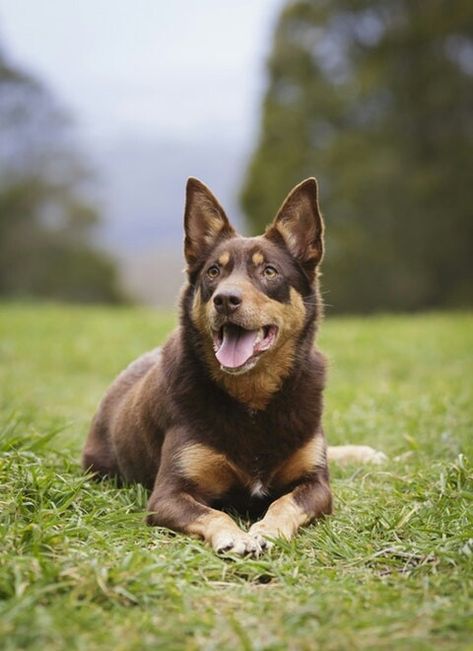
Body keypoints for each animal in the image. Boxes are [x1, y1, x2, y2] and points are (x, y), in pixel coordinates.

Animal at [81, 177, 384, 556]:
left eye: (269, 271)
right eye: (214, 271)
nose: (225, 299)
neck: (252, 401)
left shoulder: (317, 485)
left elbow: (284, 503)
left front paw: (266, 530)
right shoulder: (168, 494)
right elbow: (214, 513)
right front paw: (235, 536)